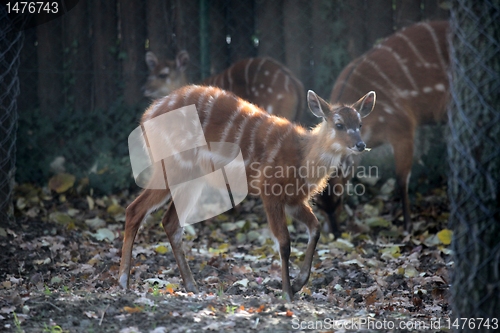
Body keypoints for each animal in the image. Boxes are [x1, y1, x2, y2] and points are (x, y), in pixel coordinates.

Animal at [118, 84, 376, 300]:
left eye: (360, 124)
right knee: (134, 209)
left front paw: (298, 284)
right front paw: (287, 293)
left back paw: (192, 287)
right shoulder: (269, 191)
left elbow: (315, 228)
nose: (361, 145)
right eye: (339, 124)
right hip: (172, 168)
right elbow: (284, 242)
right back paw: (123, 283)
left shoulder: (295, 201)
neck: (302, 157)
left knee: (170, 222)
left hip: (192, 179)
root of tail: (146, 116)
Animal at [318, 20, 452, 233]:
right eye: (318, 205)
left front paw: (407, 226)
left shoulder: (404, 127)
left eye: (339, 199)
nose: (336, 232)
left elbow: (401, 178)